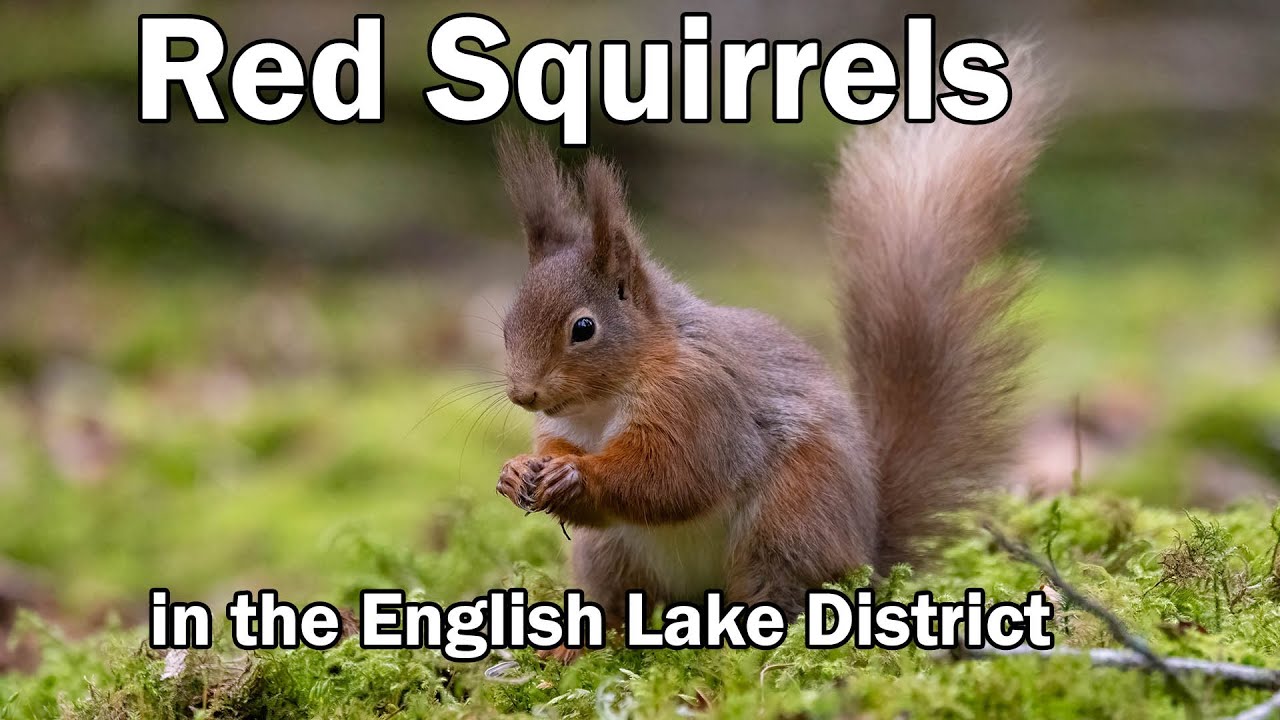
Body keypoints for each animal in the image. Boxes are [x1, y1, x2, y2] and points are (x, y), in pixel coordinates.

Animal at [493, 45, 1051, 662]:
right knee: (619, 600)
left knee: (782, 594)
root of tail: (866, 555)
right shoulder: (564, 425)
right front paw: (518, 471)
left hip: (788, 524)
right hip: (609, 555)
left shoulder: (699, 401)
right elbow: (563, 456)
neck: (603, 403)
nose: (523, 393)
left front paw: (575, 475)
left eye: (584, 328)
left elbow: (672, 477)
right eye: (507, 322)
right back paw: (578, 646)